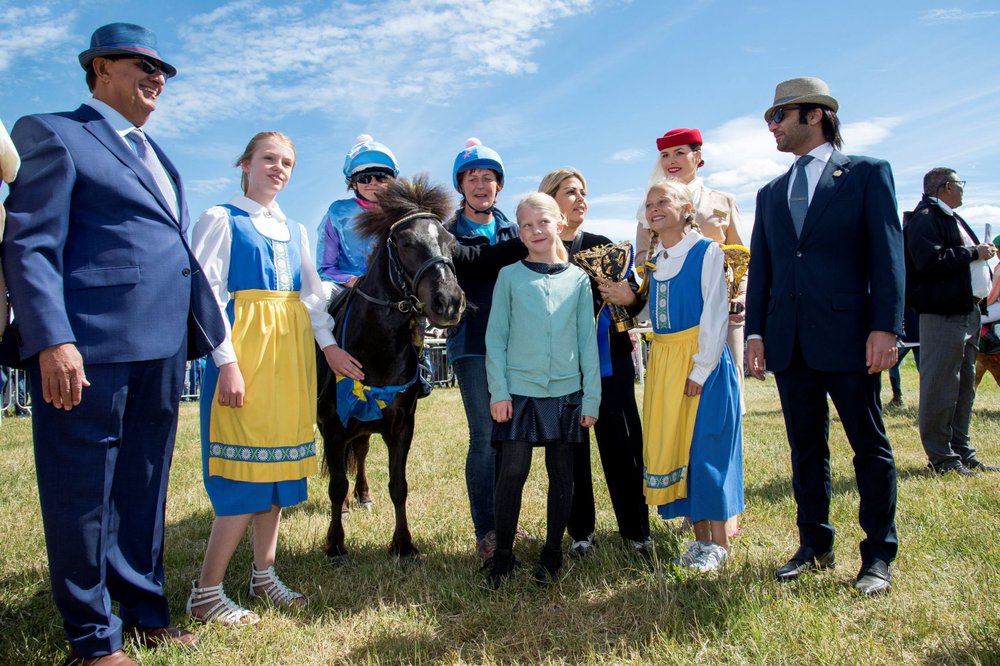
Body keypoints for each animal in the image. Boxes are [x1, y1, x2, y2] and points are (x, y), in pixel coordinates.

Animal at [316, 175, 464, 560]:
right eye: (407, 242)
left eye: (450, 242)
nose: (449, 302)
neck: (376, 348)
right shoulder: (332, 426)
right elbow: (336, 485)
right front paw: (335, 544)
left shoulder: (401, 425)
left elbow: (399, 485)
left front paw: (403, 544)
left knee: (361, 453)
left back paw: (364, 496)